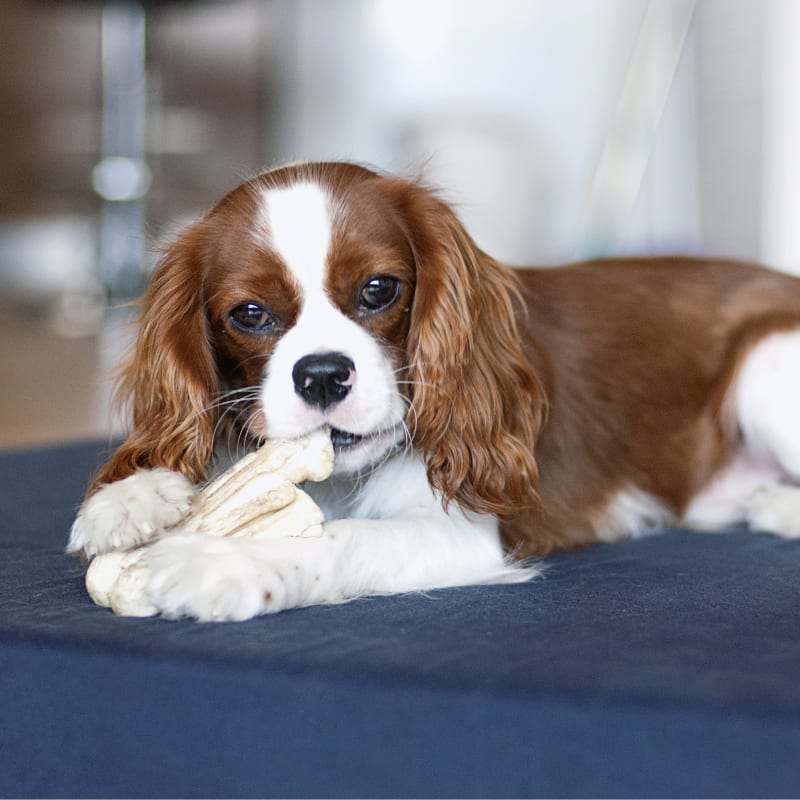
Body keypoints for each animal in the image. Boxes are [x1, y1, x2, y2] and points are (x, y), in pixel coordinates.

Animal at [67, 162, 800, 620]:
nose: (322, 373)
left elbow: (339, 540)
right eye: (250, 314)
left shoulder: (462, 533)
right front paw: (133, 496)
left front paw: (222, 562)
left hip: (766, 365)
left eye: (378, 289)